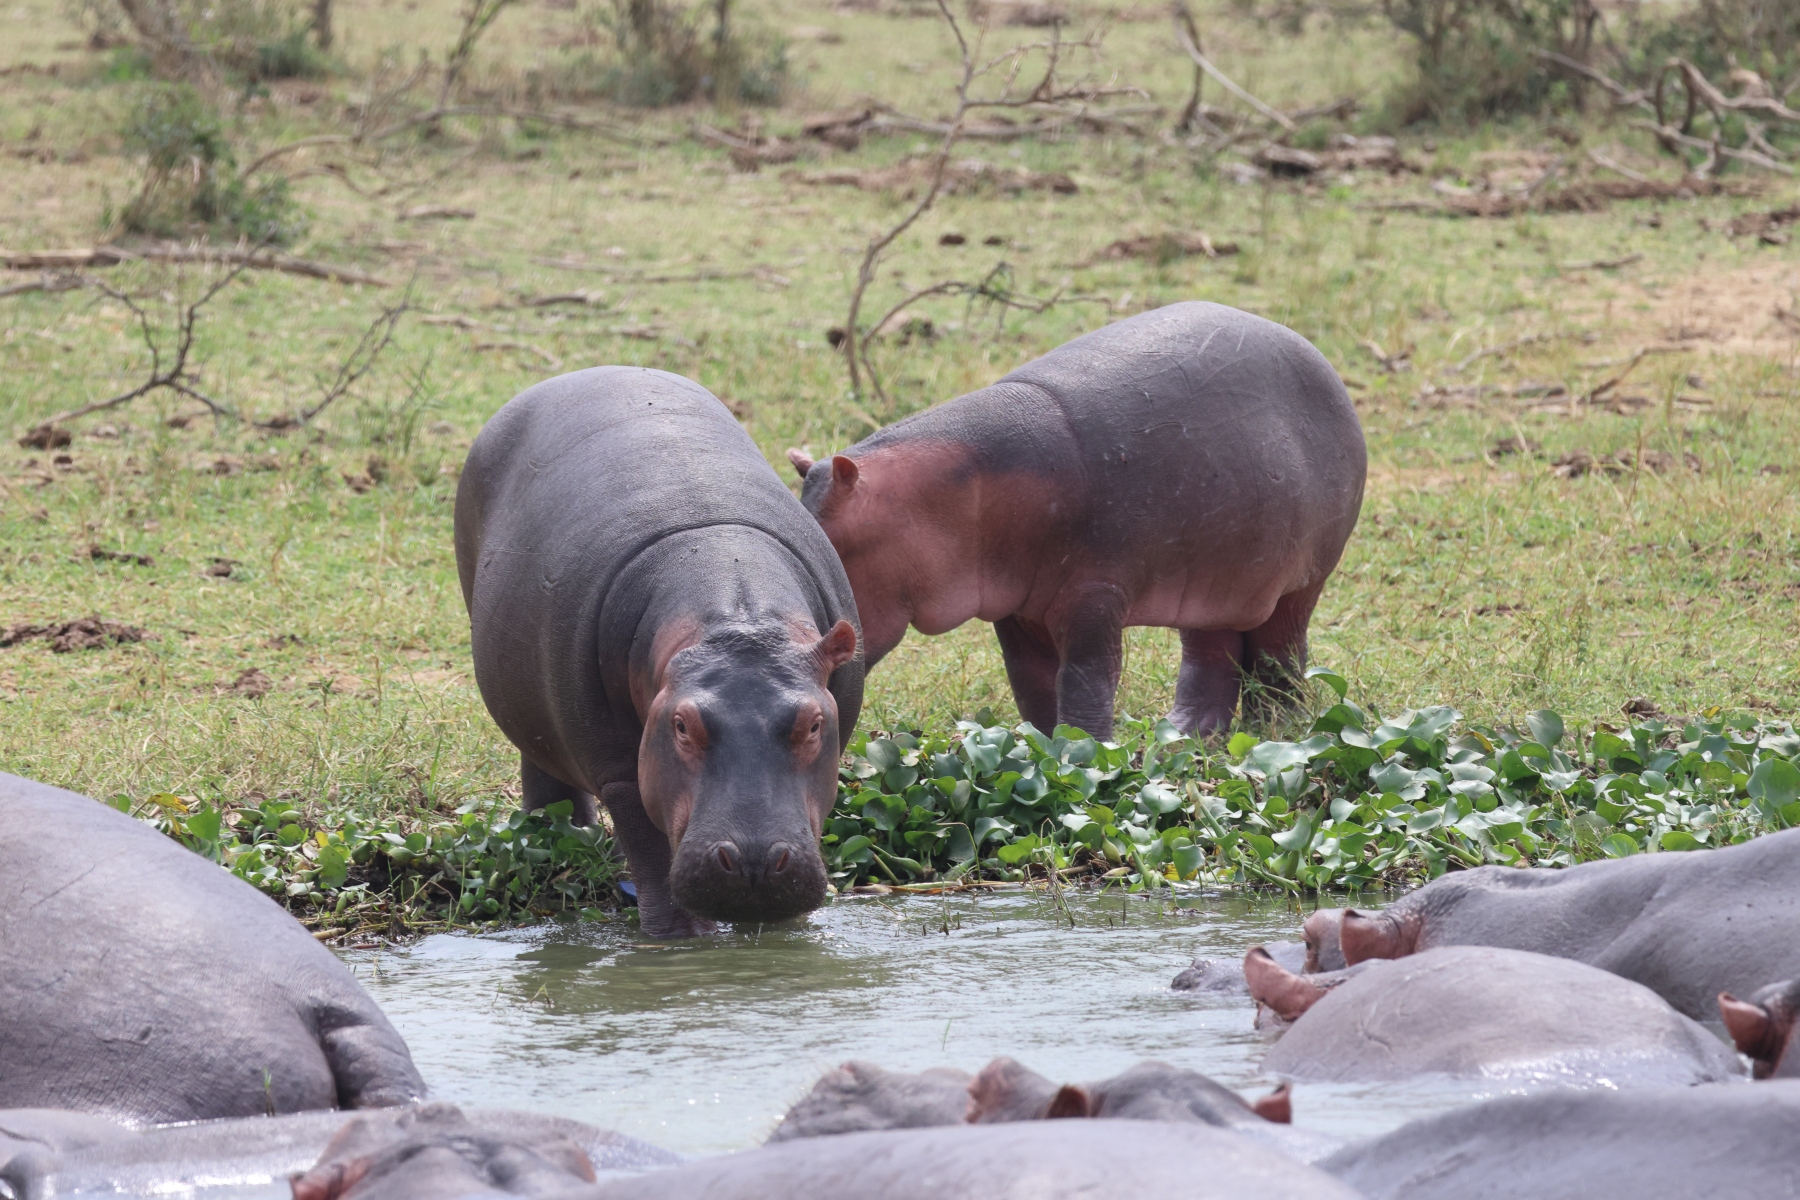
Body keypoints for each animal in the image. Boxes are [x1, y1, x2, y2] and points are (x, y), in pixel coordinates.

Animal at [455, 368, 865, 938]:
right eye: (682, 725)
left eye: (813, 725)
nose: (755, 862)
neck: (737, 614)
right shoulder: (623, 772)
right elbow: (648, 849)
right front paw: (678, 941)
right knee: (541, 762)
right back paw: (556, 835)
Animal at [786, 302, 1365, 738]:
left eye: (836, 546)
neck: (947, 491)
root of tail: (1321, 361)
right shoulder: (1017, 610)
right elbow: (1033, 684)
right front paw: (1041, 748)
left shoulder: (1095, 595)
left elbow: (1086, 680)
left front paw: (1085, 753)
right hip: (1215, 582)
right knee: (1213, 655)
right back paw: (1180, 736)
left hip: (1301, 582)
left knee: (1277, 657)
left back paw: (1274, 734)